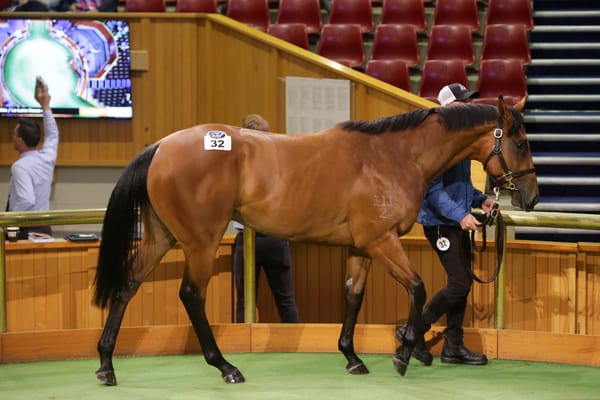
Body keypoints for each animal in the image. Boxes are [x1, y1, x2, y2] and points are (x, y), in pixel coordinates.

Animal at [92, 96, 540, 384]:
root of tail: (161, 146)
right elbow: (417, 288)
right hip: (201, 242)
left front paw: (352, 356)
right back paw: (225, 366)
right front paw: (404, 351)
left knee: (128, 285)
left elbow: (353, 296)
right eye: (519, 142)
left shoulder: (362, 246)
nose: (531, 197)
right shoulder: (382, 242)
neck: (392, 157)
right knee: (191, 296)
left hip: (162, 236)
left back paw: (106, 363)